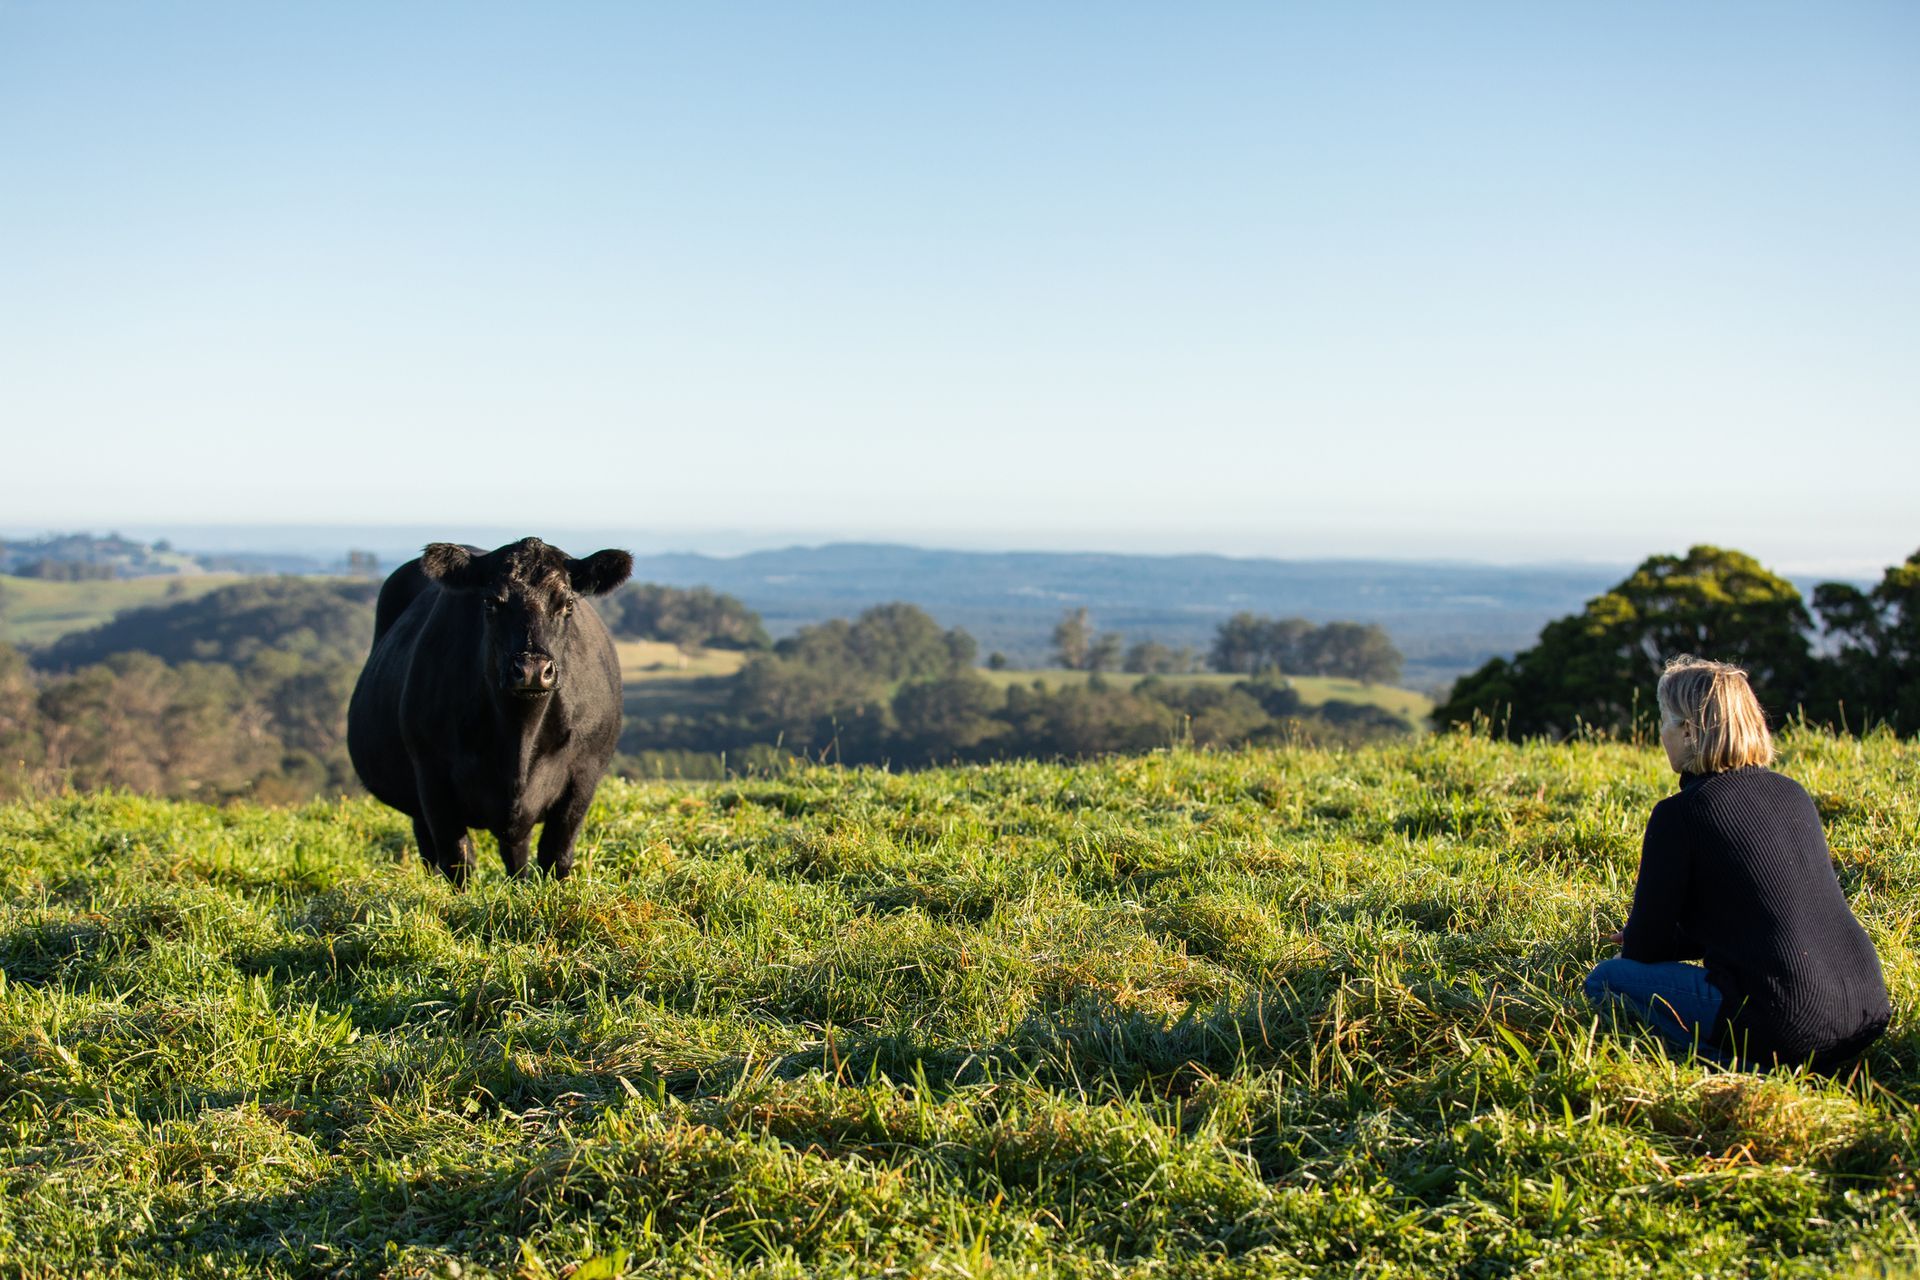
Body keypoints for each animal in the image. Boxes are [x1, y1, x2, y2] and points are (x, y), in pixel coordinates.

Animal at [347, 537, 633, 887]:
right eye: (491, 603)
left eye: (567, 604)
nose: (532, 670)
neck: (519, 736)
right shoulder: (432, 775)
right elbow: (458, 860)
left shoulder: (584, 773)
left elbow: (556, 856)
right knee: (429, 851)